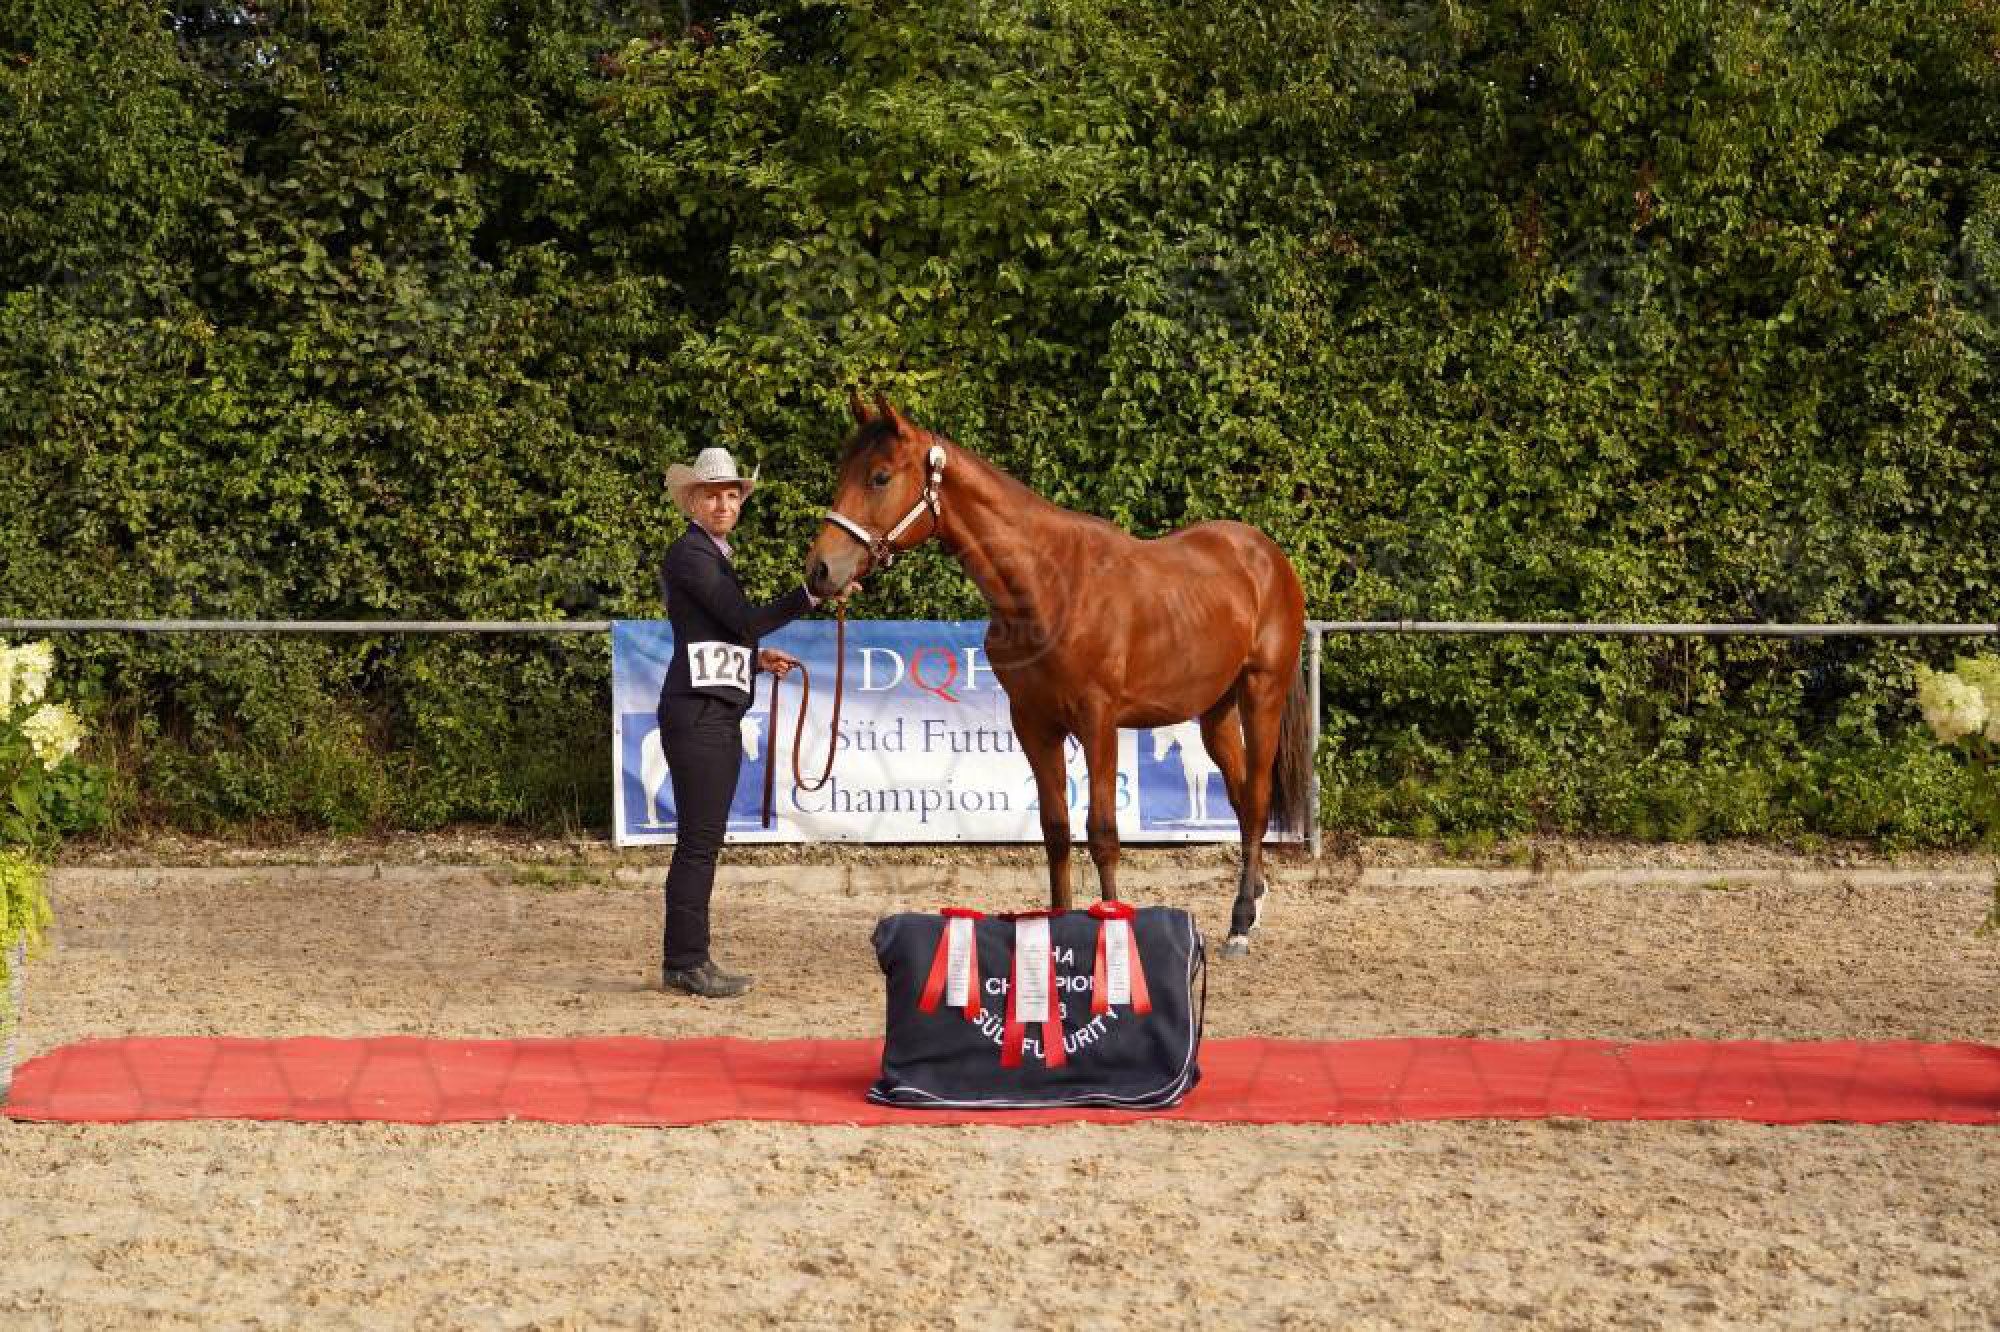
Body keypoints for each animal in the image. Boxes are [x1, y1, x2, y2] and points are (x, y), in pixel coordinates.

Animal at [804, 392, 1311, 957]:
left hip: (1261, 692)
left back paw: (1241, 923)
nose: (820, 570)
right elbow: (1055, 829)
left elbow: (1103, 832)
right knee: (1242, 800)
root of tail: (1266, 555)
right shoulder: (1034, 724)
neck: (1048, 585)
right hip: (1215, 712)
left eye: (880, 476)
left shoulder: (1099, 722)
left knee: (1258, 799)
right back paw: (1252, 905)